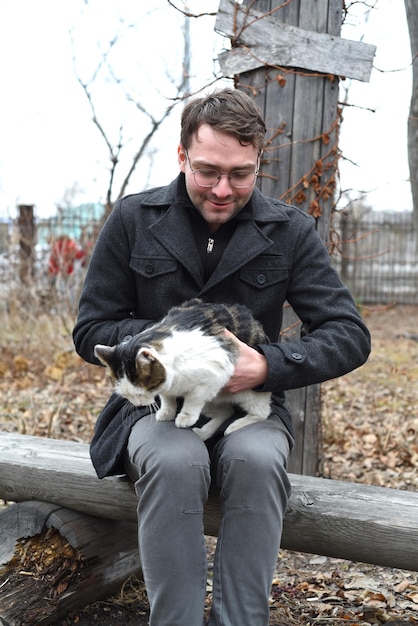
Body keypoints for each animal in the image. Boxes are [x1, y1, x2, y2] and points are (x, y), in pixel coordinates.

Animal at [94, 298, 272, 438]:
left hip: (248, 394)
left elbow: (194, 399)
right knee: (227, 411)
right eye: (126, 395)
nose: (138, 405)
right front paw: (167, 412)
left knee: (262, 412)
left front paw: (185, 416)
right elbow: (167, 397)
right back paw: (203, 432)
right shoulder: (166, 385)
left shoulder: (213, 377)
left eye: (141, 393)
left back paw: (233, 427)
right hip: (212, 401)